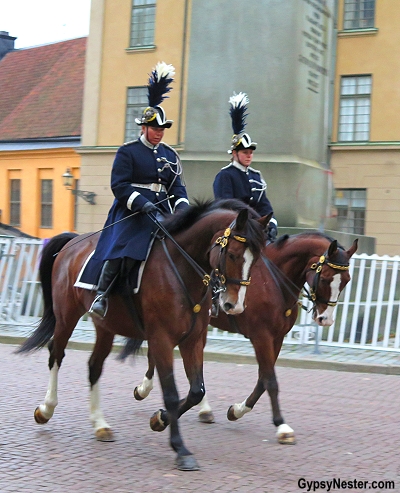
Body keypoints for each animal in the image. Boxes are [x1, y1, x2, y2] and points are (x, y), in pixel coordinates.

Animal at [17, 198, 270, 470]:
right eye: (232, 254)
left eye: (256, 259)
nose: (235, 305)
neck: (181, 269)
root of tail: (73, 242)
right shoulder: (161, 340)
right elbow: (171, 393)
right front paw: (180, 449)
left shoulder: (192, 339)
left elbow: (196, 391)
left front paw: (160, 419)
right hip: (66, 316)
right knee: (56, 353)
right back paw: (46, 409)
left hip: (105, 327)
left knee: (94, 366)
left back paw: (100, 424)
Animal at [133, 233, 358, 444]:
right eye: (326, 277)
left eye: (346, 280)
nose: (325, 319)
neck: (273, 281)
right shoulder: (261, 337)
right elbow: (270, 381)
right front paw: (281, 426)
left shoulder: (277, 338)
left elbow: (263, 380)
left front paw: (238, 409)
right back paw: (146, 389)